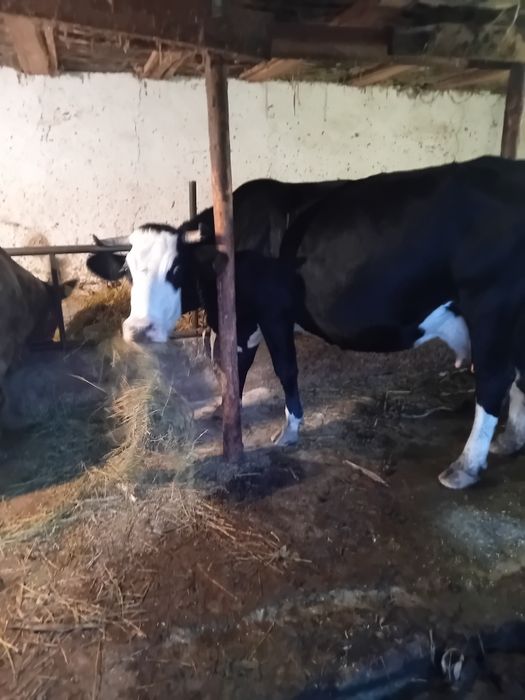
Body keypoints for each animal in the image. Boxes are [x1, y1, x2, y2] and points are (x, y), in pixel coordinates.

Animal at [86, 156, 525, 491]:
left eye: (176, 269)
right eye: (127, 271)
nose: (139, 329)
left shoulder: (271, 313)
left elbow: (282, 369)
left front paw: (289, 431)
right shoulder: (243, 320)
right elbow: (234, 366)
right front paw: (224, 410)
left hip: (490, 306)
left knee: (494, 378)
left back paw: (466, 465)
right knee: (518, 375)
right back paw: (511, 439)